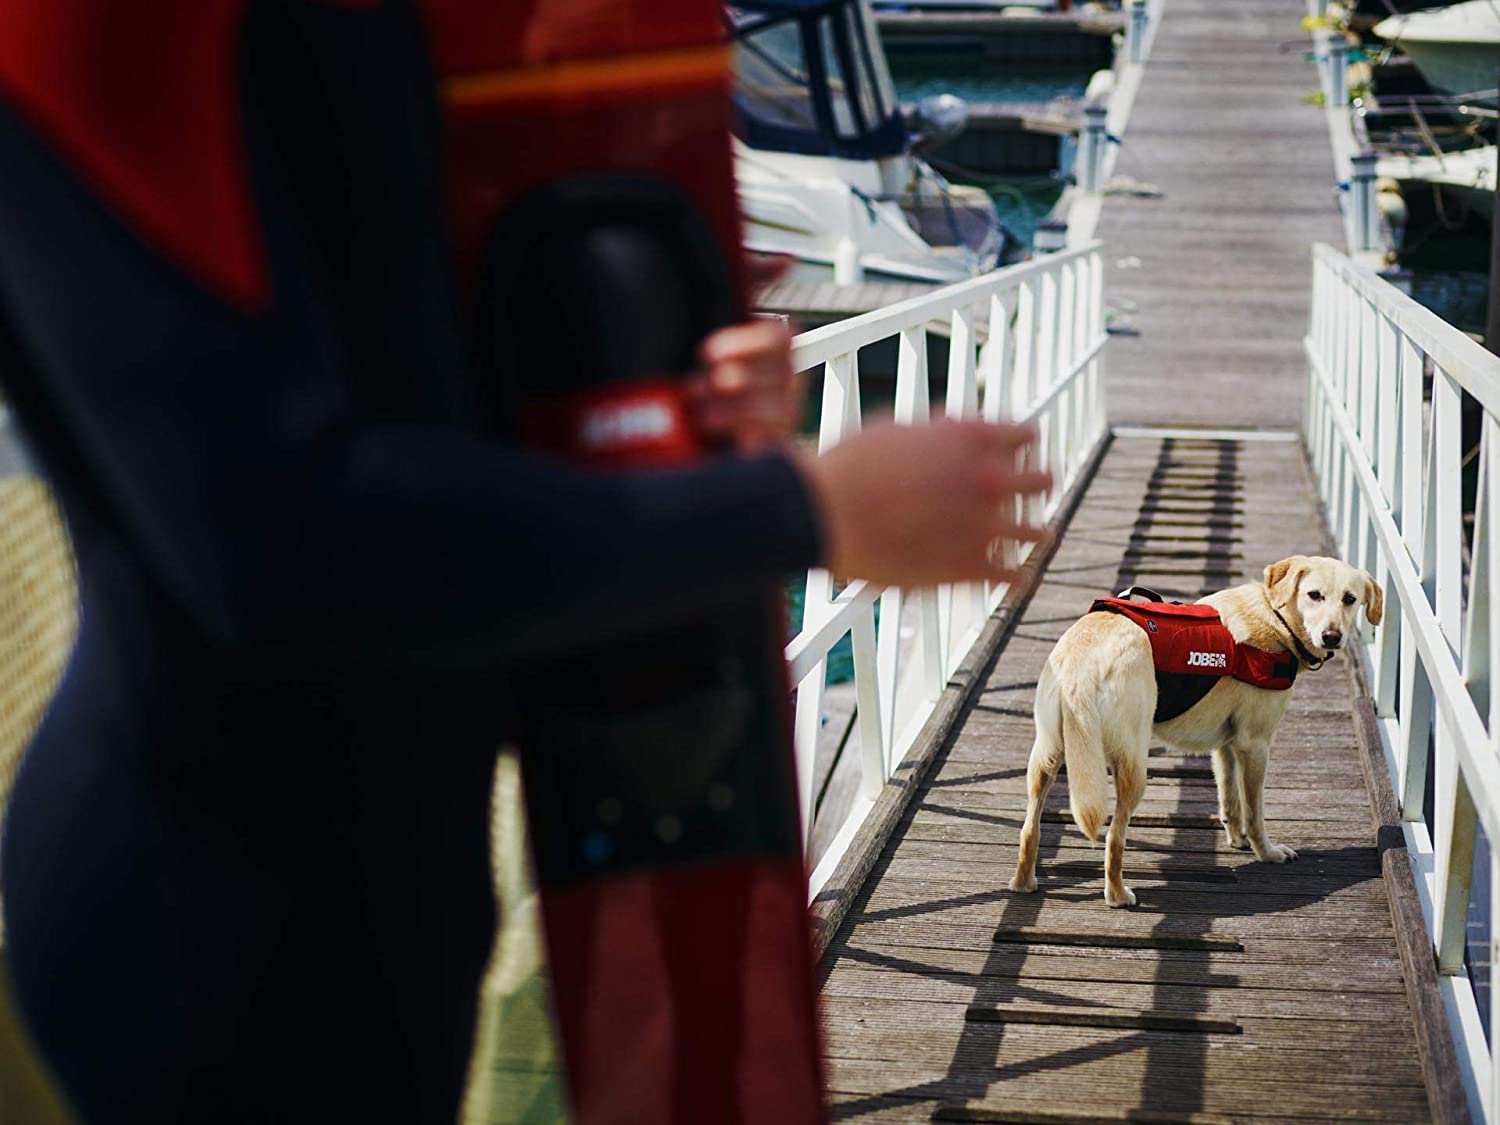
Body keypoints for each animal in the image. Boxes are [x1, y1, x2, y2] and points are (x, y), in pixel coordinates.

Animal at [1008, 555, 1380, 906]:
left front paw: (1236, 840)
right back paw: (1118, 895)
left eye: (1350, 599)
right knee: (1114, 836)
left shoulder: (1227, 746)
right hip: (1132, 766)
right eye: (1314, 595)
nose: (1333, 636)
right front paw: (1267, 852)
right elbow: (1255, 811)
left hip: (1045, 759)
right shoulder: (1256, 745)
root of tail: (1083, 662)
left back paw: (1024, 883)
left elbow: (1229, 799)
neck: (1276, 618)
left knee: (1029, 829)